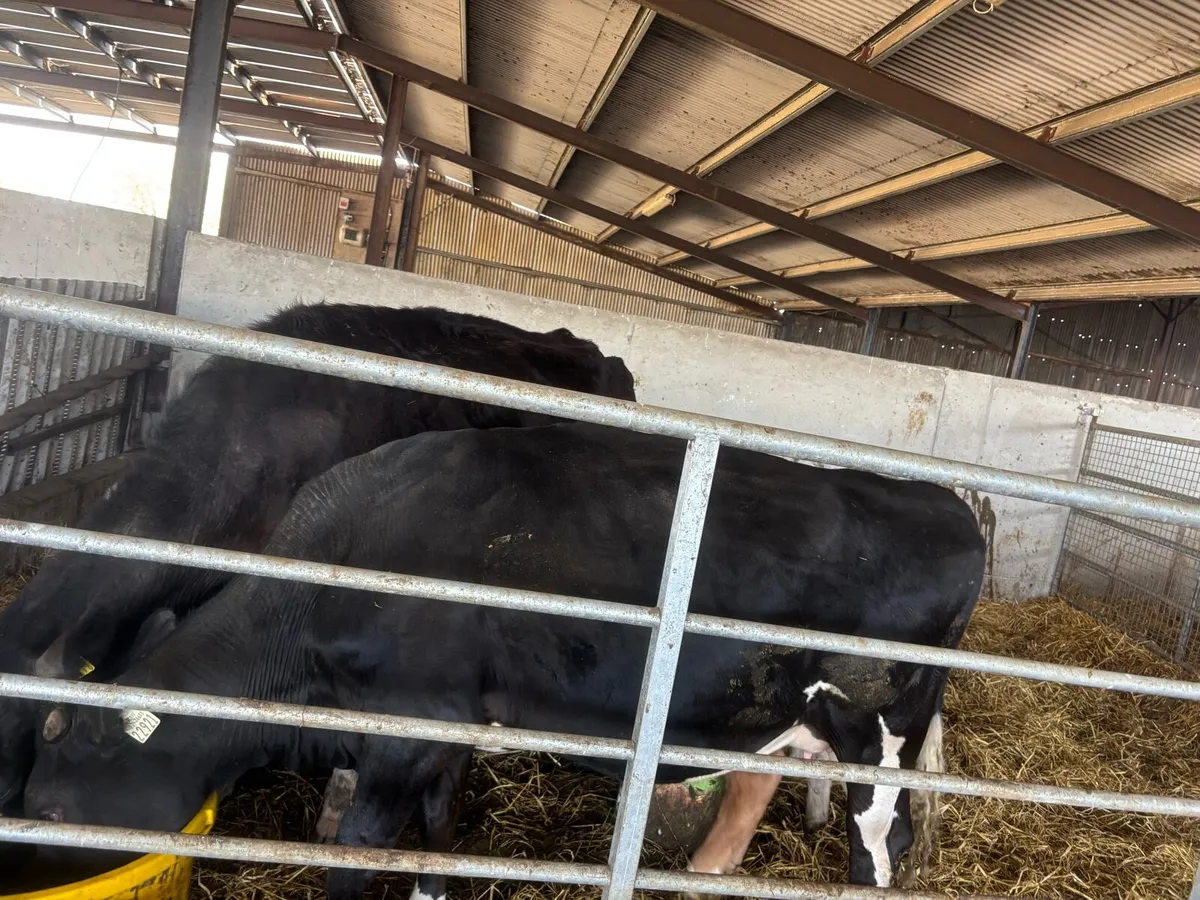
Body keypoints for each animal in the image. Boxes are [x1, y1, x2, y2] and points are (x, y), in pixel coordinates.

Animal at [22, 421, 985, 899]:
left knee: (882, 836)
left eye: (52, 807)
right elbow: (439, 830)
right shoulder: (449, 726)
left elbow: (362, 849)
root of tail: (948, 503)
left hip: (884, 728)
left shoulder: (404, 727)